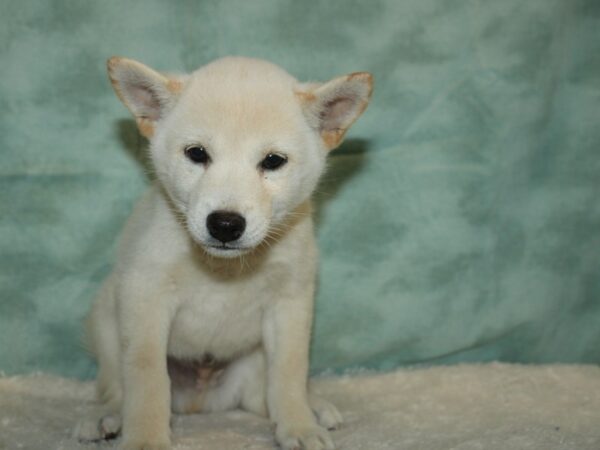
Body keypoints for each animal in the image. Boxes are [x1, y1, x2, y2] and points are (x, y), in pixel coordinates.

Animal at [77, 56, 372, 450]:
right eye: (197, 154)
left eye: (273, 161)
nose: (226, 224)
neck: (223, 268)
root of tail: (202, 401)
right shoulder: (146, 296)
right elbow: (146, 377)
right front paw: (145, 439)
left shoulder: (290, 302)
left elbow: (289, 373)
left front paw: (299, 426)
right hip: (105, 320)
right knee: (115, 388)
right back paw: (106, 417)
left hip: (251, 368)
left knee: (265, 396)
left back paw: (314, 408)